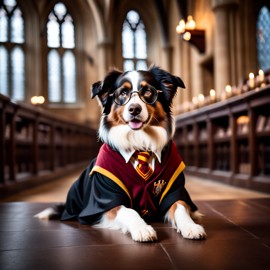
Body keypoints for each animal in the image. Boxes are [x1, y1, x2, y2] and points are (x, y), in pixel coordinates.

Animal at [34, 66, 206, 243]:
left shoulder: (174, 188)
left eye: (148, 91)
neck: (140, 143)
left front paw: (190, 226)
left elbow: (180, 206)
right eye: (123, 93)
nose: (134, 109)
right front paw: (142, 229)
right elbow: (128, 210)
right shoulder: (105, 196)